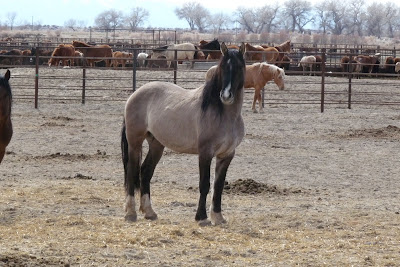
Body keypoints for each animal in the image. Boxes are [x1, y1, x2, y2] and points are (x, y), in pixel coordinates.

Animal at [121, 42, 247, 226]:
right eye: (223, 67)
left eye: (239, 67)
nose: (226, 95)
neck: (224, 114)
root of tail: (134, 95)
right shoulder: (205, 153)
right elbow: (204, 184)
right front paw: (201, 217)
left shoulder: (226, 155)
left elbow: (218, 186)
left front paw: (218, 216)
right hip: (135, 142)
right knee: (132, 172)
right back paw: (130, 213)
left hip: (156, 144)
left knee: (145, 172)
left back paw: (150, 212)